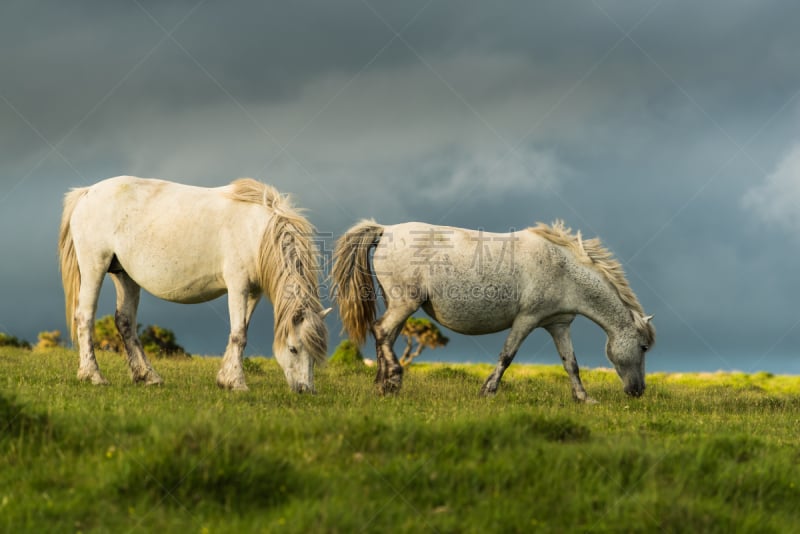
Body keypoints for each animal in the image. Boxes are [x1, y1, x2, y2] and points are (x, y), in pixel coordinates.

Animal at [57, 178, 328, 392]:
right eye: (293, 349)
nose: (305, 390)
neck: (257, 231)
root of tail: (87, 192)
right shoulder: (237, 285)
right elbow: (239, 334)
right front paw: (237, 383)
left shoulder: (253, 292)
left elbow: (241, 330)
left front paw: (225, 379)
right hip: (94, 267)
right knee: (85, 317)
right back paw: (93, 375)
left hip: (124, 275)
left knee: (125, 322)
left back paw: (148, 376)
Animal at [334, 219, 652, 402]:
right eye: (644, 347)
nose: (638, 391)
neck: (562, 269)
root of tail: (385, 230)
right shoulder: (527, 319)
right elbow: (507, 356)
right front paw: (488, 391)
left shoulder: (558, 324)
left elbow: (570, 364)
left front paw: (584, 398)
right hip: (404, 304)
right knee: (382, 331)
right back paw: (392, 381)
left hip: (399, 306)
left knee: (385, 335)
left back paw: (382, 384)